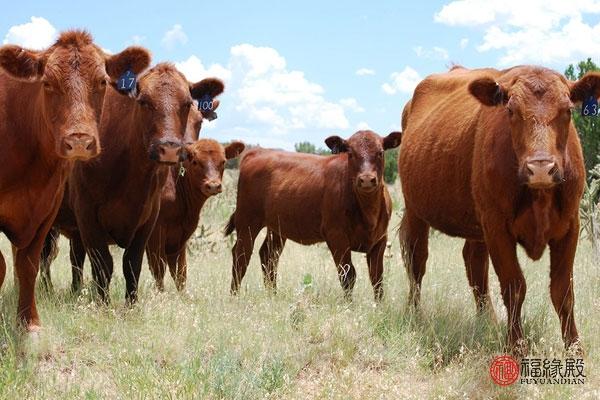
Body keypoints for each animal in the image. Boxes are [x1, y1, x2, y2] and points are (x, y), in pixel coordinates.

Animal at [41, 64, 226, 304]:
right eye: (143, 101)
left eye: (188, 105)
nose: (172, 149)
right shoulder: (87, 214)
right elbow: (103, 265)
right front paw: (103, 305)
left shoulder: (148, 218)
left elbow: (133, 264)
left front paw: (131, 305)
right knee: (43, 256)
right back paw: (45, 290)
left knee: (75, 257)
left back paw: (75, 291)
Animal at [146, 136, 245, 290]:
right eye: (195, 161)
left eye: (223, 161)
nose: (213, 185)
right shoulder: (155, 235)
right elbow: (158, 270)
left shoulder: (180, 239)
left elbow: (181, 273)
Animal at [226, 131, 404, 300]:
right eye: (350, 153)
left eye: (380, 152)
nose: (366, 179)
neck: (368, 212)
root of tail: (258, 151)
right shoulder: (336, 237)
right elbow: (348, 276)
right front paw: (349, 306)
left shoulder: (380, 240)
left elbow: (377, 279)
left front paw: (378, 306)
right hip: (247, 221)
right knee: (241, 256)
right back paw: (234, 296)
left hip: (277, 228)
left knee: (268, 256)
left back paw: (272, 295)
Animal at [398, 65, 596, 354]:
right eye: (511, 110)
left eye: (568, 109)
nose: (540, 168)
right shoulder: (497, 227)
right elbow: (514, 286)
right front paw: (516, 346)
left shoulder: (569, 226)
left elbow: (563, 291)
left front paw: (574, 349)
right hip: (415, 209)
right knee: (416, 259)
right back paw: (415, 315)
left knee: (474, 263)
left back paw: (487, 321)